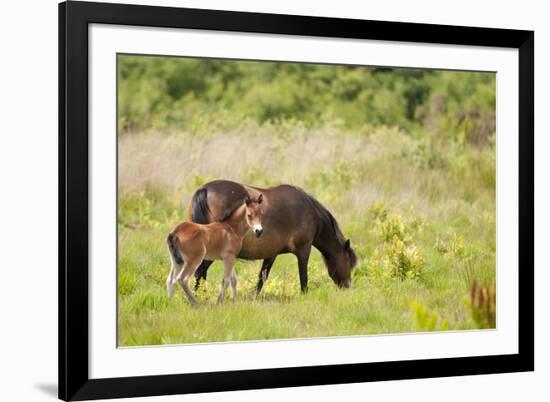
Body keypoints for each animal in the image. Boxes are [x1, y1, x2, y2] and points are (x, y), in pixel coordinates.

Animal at [189, 181, 358, 294]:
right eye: (350, 263)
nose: (348, 286)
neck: (310, 213)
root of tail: (205, 189)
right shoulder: (304, 250)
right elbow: (303, 276)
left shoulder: (271, 253)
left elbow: (262, 277)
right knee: (199, 272)